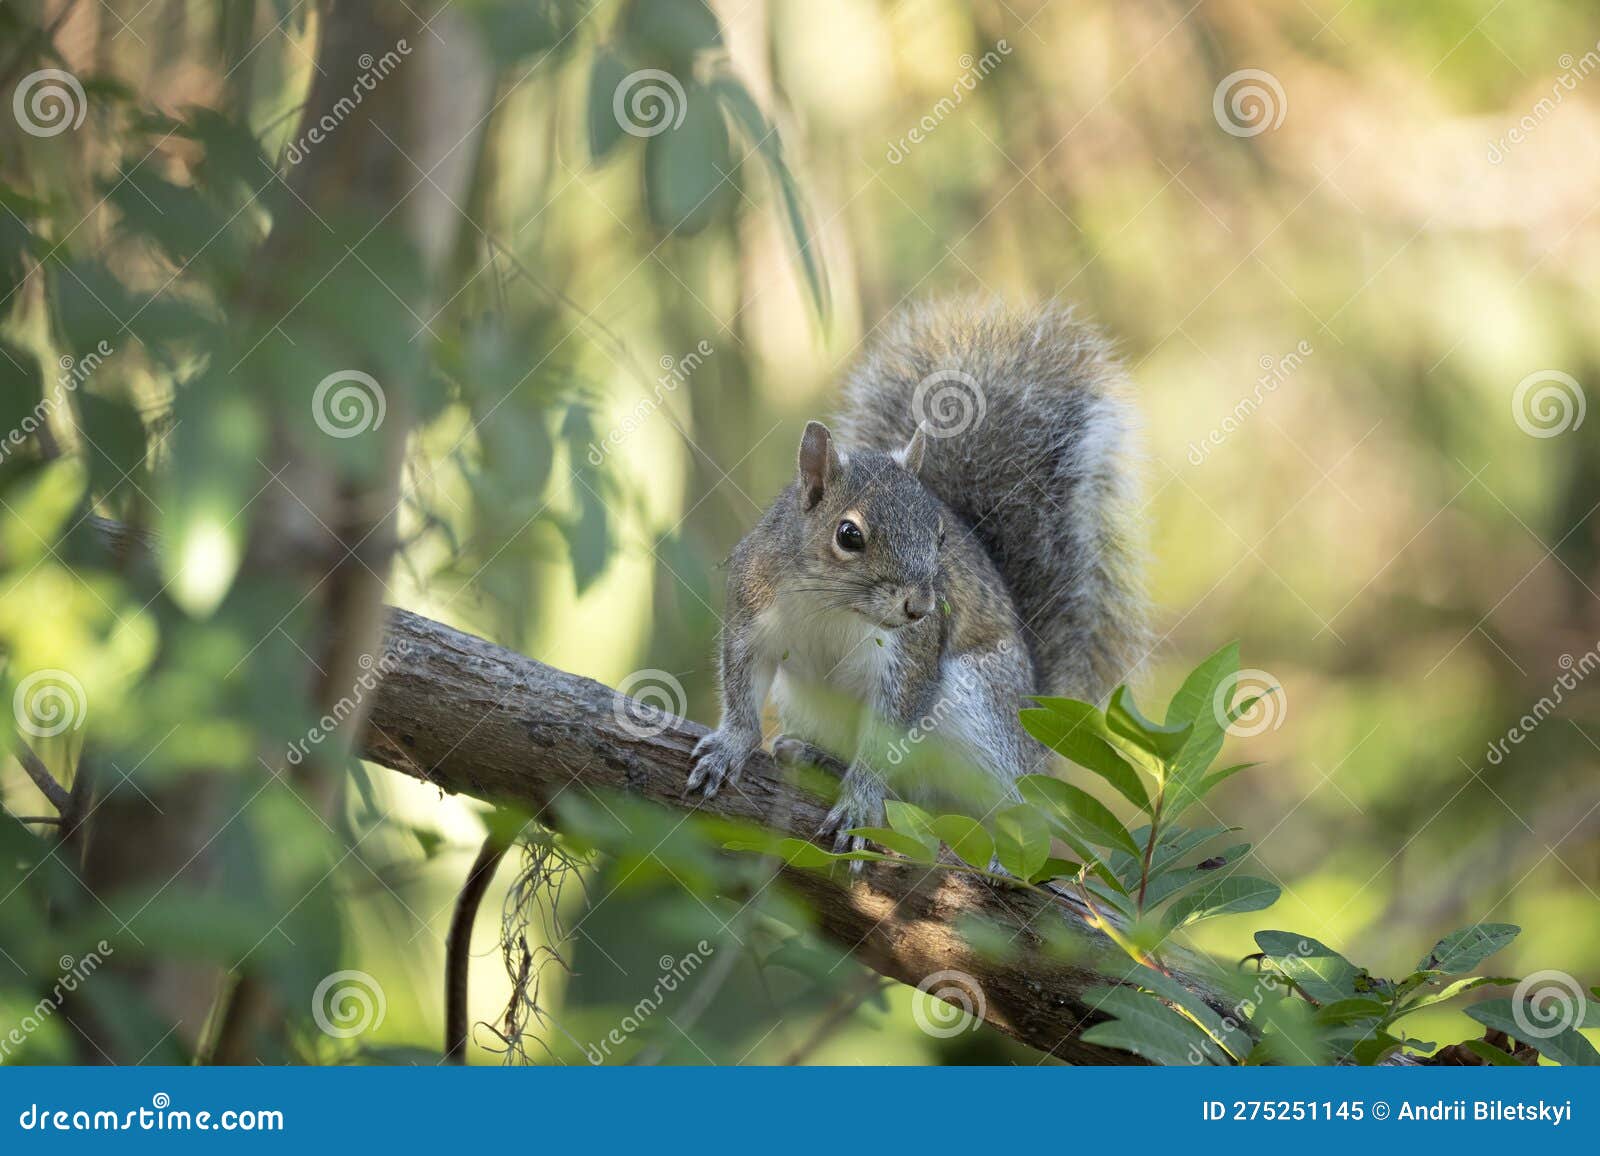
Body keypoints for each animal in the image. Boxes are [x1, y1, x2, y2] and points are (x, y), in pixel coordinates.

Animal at [686, 299, 1148, 853]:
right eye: (848, 535)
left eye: (941, 535)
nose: (921, 607)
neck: (832, 606)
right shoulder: (752, 609)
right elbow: (741, 687)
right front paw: (729, 748)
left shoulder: (910, 660)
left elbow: (889, 731)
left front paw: (859, 802)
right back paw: (817, 757)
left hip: (979, 707)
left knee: (995, 803)